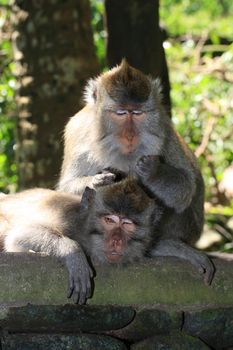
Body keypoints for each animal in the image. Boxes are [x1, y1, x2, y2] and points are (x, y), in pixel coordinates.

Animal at [0, 178, 162, 304]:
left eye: (127, 224)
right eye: (109, 220)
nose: (116, 241)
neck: (84, 231)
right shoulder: (66, 216)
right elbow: (19, 236)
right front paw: (73, 253)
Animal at [56, 60, 215, 284]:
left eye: (138, 114)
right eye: (121, 113)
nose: (130, 136)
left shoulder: (163, 128)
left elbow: (185, 187)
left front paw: (154, 171)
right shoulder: (77, 129)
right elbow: (66, 186)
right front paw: (99, 181)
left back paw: (162, 246)